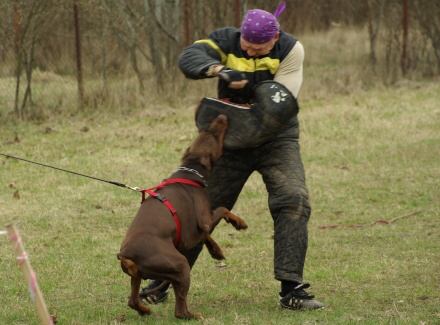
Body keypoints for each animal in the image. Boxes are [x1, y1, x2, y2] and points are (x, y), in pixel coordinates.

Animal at [117, 114, 248, 318]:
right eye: (213, 134)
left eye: (208, 129)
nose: (222, 117)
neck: (189, 171)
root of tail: (127, 257)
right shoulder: (204, 219)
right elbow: (222, 209)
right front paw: (238, 223)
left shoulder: (191, 230)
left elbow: (205, 234)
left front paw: (215, 250)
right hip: (180, 265)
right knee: (180, 310)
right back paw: (195, 316)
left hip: (140, 276)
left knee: (133, 300)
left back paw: (144, 310)